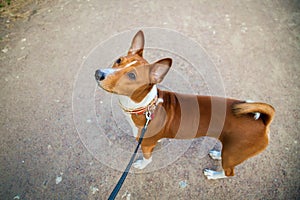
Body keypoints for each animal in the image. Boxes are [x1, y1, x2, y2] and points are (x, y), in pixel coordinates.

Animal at [95, 30, 276, 179]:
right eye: (119, 60)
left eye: (132, 76)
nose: (99, 73)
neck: (146, 106)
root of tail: (262, 122)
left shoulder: (146, 144)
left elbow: (147, 159)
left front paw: (141, 164)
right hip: (232, 150)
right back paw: (218, 154)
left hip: (234, 154)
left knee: (229, 173)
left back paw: (214, 174)